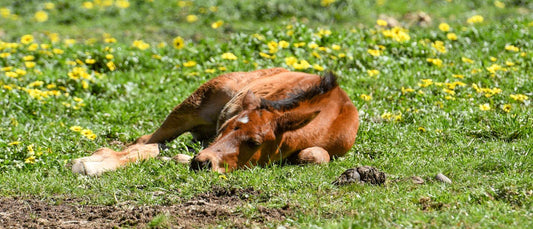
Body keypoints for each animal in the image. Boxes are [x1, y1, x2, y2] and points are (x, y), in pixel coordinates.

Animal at [70, 67, 360, 174]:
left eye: (255, 142)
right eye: (226, 127)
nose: (202, 162)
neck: (334, 114)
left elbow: (313, 155)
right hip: (191, 107)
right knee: (146, 142)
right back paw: (92, 162)